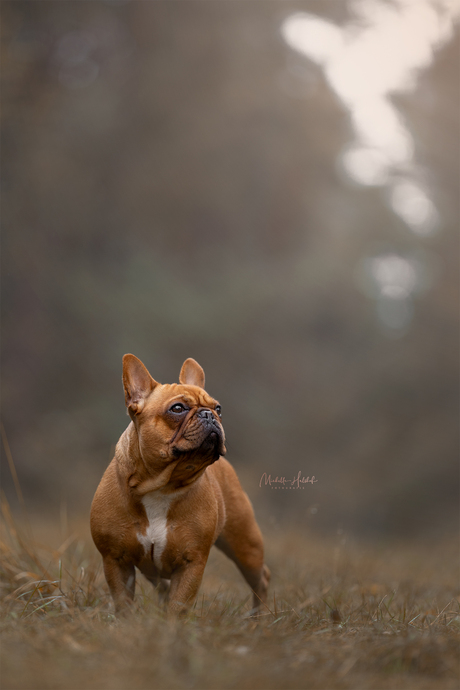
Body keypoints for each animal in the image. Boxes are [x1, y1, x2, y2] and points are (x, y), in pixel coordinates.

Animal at [90, 354, 270, 612]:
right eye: (177, 408)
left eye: (218, 408)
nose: (209, 414)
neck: (160, 485)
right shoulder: (115, 560)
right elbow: (123, 601)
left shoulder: (191, 562)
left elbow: (178, 605)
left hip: (246, 544)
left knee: (261, 579)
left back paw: (260, 617)